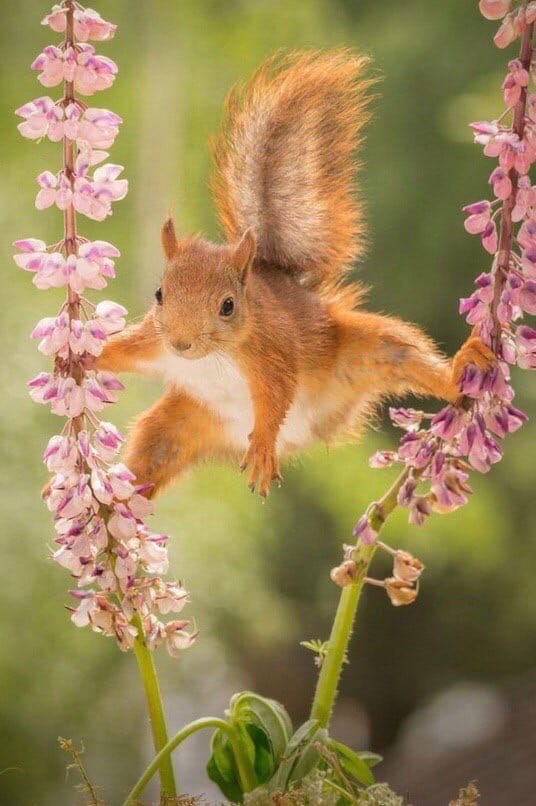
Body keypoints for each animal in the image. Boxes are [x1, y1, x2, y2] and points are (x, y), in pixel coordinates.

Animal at [96, 50, 494, 498]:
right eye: (159, 294)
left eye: (228, 306)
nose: (181, 343)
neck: (214, 356)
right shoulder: (152, 341)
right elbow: (119, 351)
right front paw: (78, 356)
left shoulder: (271, 352)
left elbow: (277, 396)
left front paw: (264, 446)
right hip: (180, 422)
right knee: (153, 451)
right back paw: (110, 502)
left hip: (368, 351)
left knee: (407, 357)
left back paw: (460, 371)